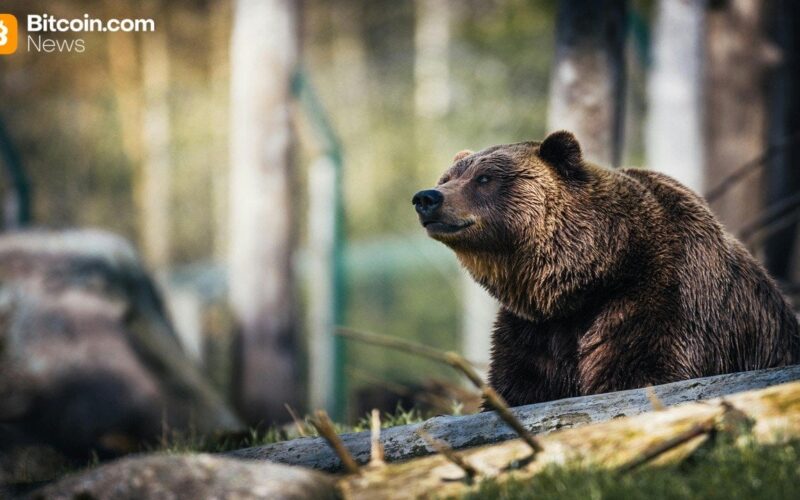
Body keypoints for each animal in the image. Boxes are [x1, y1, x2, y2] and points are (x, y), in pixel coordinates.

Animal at [412, 130, 800, 408]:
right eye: (448, 177)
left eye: (485, 178)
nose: (427, 197)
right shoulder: (535, 330)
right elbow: (519, 386)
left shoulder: (661, 296)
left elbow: (643, 371)